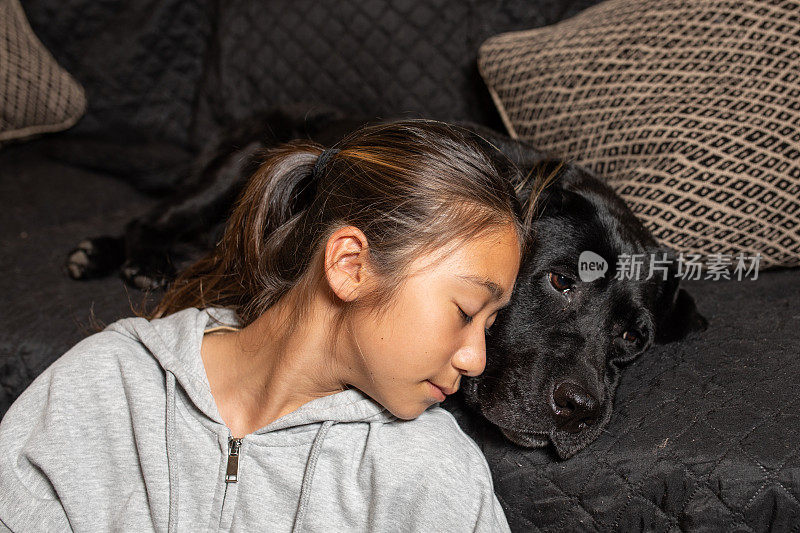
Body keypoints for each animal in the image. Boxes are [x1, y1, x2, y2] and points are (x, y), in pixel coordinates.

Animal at [64, 103, 708, 458]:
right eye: (558, 279)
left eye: (632, 338)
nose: (580, 409)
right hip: (241, 163)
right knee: (159, 215)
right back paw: (129, 255)